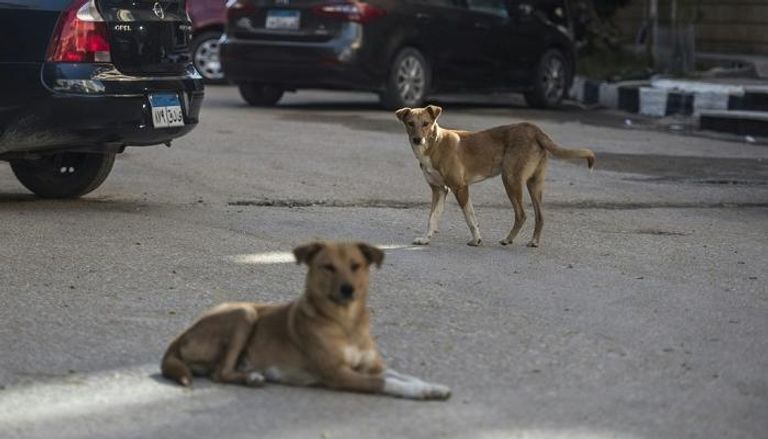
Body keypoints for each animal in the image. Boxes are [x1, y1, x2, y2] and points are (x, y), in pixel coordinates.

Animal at [160, 242, 450, 400]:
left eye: (356, 266)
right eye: (328, 267)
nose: (347, 290)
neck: (346, 324)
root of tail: (179, 336)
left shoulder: (371, 367)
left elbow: (402, 375)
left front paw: (431, 388)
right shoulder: (338, 375)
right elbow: (388, 383)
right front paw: (418, 392)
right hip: (245, 313)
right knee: (220, 372)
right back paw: (253, 377)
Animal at [396, 105, 592, 248]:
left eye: (426, 123)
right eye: (410, 123)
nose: (417, 140)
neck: (434, 145)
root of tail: (534, 129)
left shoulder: (460, 187)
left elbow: (470, 218)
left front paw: (476, 240)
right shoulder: (439, 190)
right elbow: (432, 218)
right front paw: (425, 239)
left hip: (511, 179)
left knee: (521, 214)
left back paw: (508, 239)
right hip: (534, 183)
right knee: (540, 215)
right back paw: (533, 241)